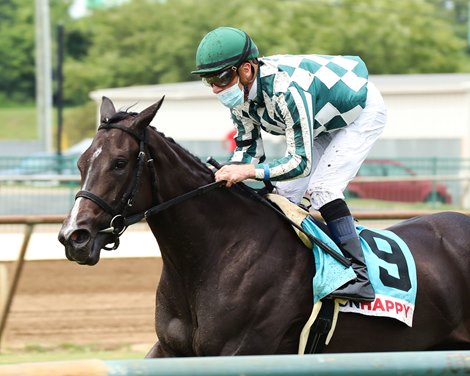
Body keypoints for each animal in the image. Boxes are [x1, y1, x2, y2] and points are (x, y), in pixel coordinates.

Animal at [57, 96, 470, 356]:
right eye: (80, 162)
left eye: (119, 163)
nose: (73, 236)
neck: (215, 253)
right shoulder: (171, 349)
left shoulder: (241, 350)